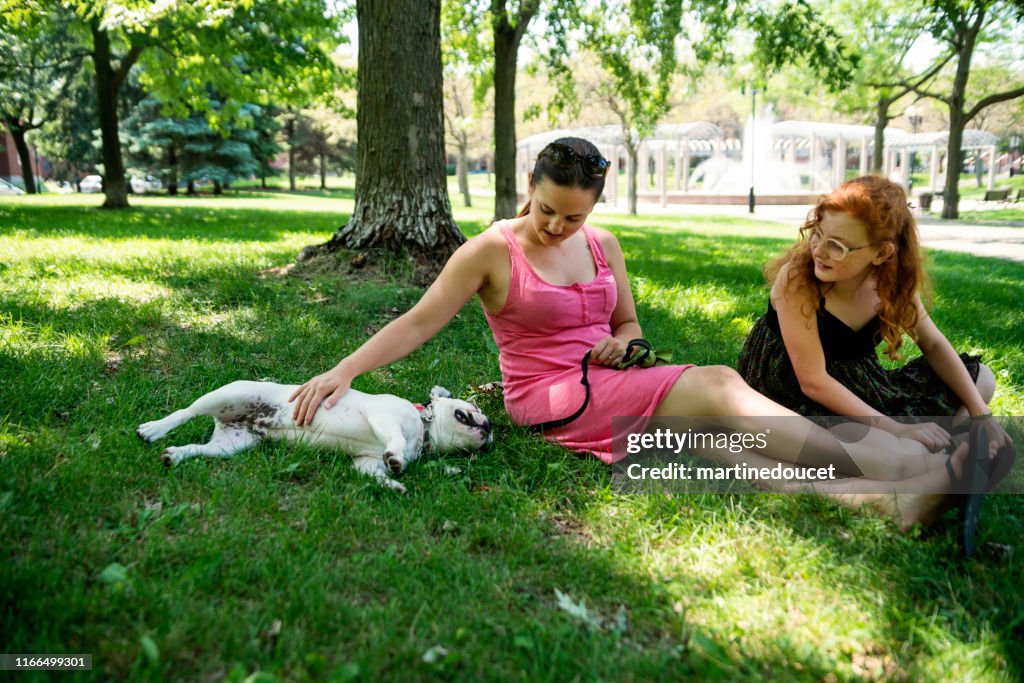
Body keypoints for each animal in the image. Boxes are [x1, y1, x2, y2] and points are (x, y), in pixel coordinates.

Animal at [137, 385, 491, 491]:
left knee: (201, 449)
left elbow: (373, 472)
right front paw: (397, 457)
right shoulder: (384, 417)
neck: (424, 427)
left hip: (232, 444)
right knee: (185, 411)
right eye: (472, 408)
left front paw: (393, 484)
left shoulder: (366, 462)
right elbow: (394, 439)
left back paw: (176, 454)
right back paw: (153, 429)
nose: (489, 429)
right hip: (229, 394)